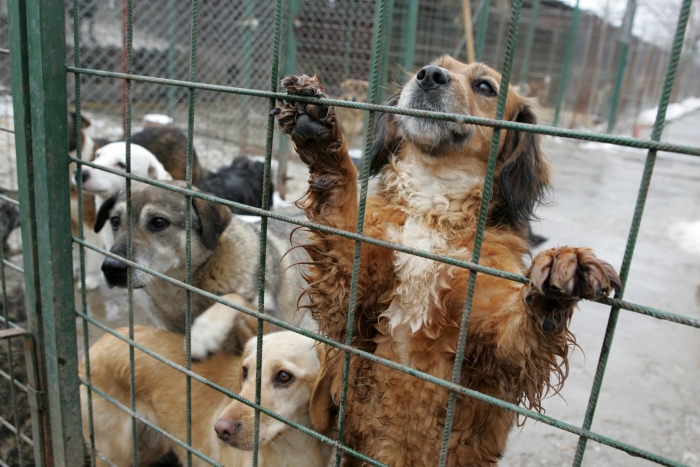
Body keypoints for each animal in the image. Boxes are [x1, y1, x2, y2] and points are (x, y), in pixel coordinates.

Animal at [276, 55, 620, 467]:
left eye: (485, 86)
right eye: (433, 66)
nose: (428, 76)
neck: (433, 202)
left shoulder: (493, 348)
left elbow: (518, 329)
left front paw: (558, 278)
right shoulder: (351, 295)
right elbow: (341, 211)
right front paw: (323, 139)